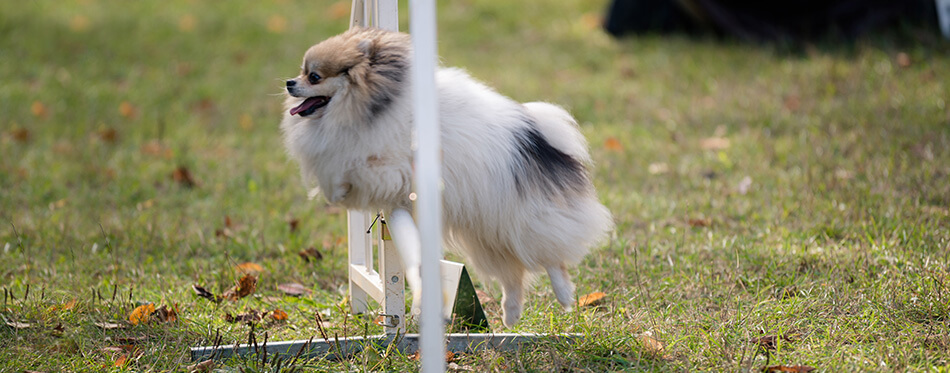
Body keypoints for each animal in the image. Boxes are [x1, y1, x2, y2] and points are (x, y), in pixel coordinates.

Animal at [278, 27, 612, 326]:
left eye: (314, 77)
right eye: (302, 71)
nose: (289, 82)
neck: (369, 105)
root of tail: (541, 139)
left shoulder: (390, 162)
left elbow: (360, 170)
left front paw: (337, 190)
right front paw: (336, 190)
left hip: (526, 218)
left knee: (552, 256)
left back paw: (564, 296)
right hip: (489, 234)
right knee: (513, 275)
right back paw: (511, 315)